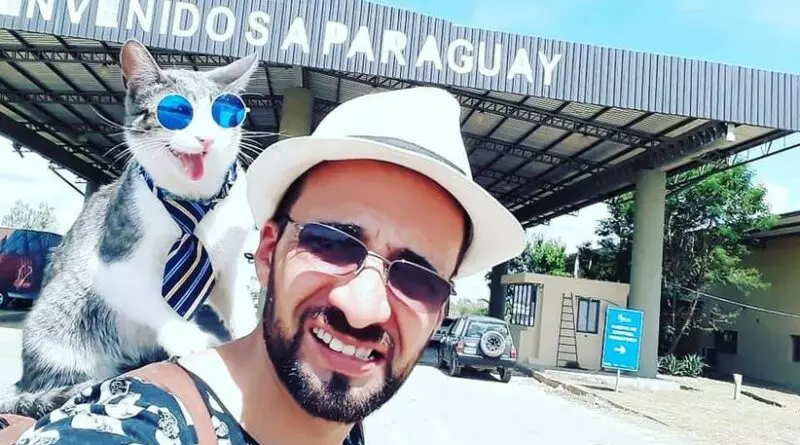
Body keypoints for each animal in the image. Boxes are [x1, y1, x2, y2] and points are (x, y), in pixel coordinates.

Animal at [0, 39, 262, 419]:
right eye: (175, 111)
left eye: (227, 114)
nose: (205, 139)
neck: (194, 204)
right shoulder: (113, 265)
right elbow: (155, 302)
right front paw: (190, 338)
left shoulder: (228, 264)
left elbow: (239, 305)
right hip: (60, 322)